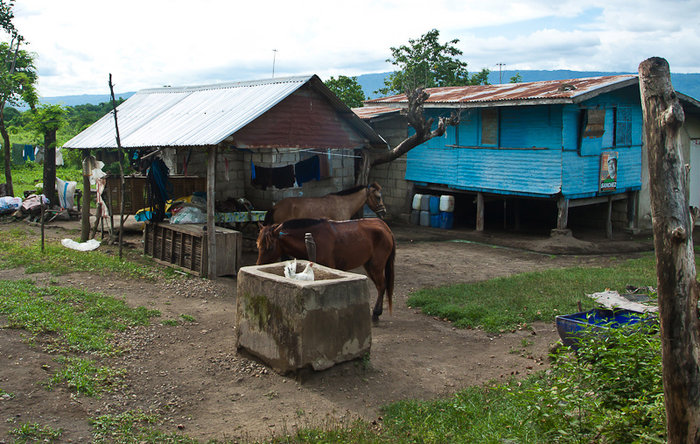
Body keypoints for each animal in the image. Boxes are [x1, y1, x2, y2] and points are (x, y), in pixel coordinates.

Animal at [258, 217, 396, 320]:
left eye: (270, 247)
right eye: (258, 245)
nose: (258, 265)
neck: (313, 238)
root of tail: (384, 226)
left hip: (376, 265)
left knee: (382, 285)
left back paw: (376, 313)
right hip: (369, 265)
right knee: (380, 286)